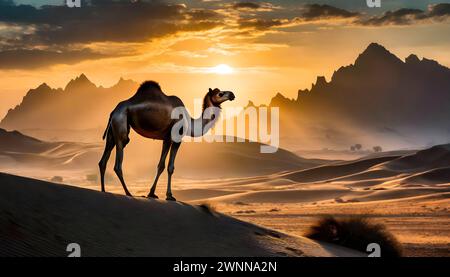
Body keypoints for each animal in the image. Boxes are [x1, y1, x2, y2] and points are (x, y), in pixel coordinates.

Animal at [98, 81, 236, 199]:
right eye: (220, 93)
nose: (232, 94)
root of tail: (113, 111)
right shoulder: (176, 138)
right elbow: (169, 167)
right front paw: (169, 196)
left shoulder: (166, 139)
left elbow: (161, 165)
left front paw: (152, 193)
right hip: (120, 123)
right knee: (118, 163)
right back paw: (128, 193)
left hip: (113, 129)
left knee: (103, 160)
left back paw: (104, 191)